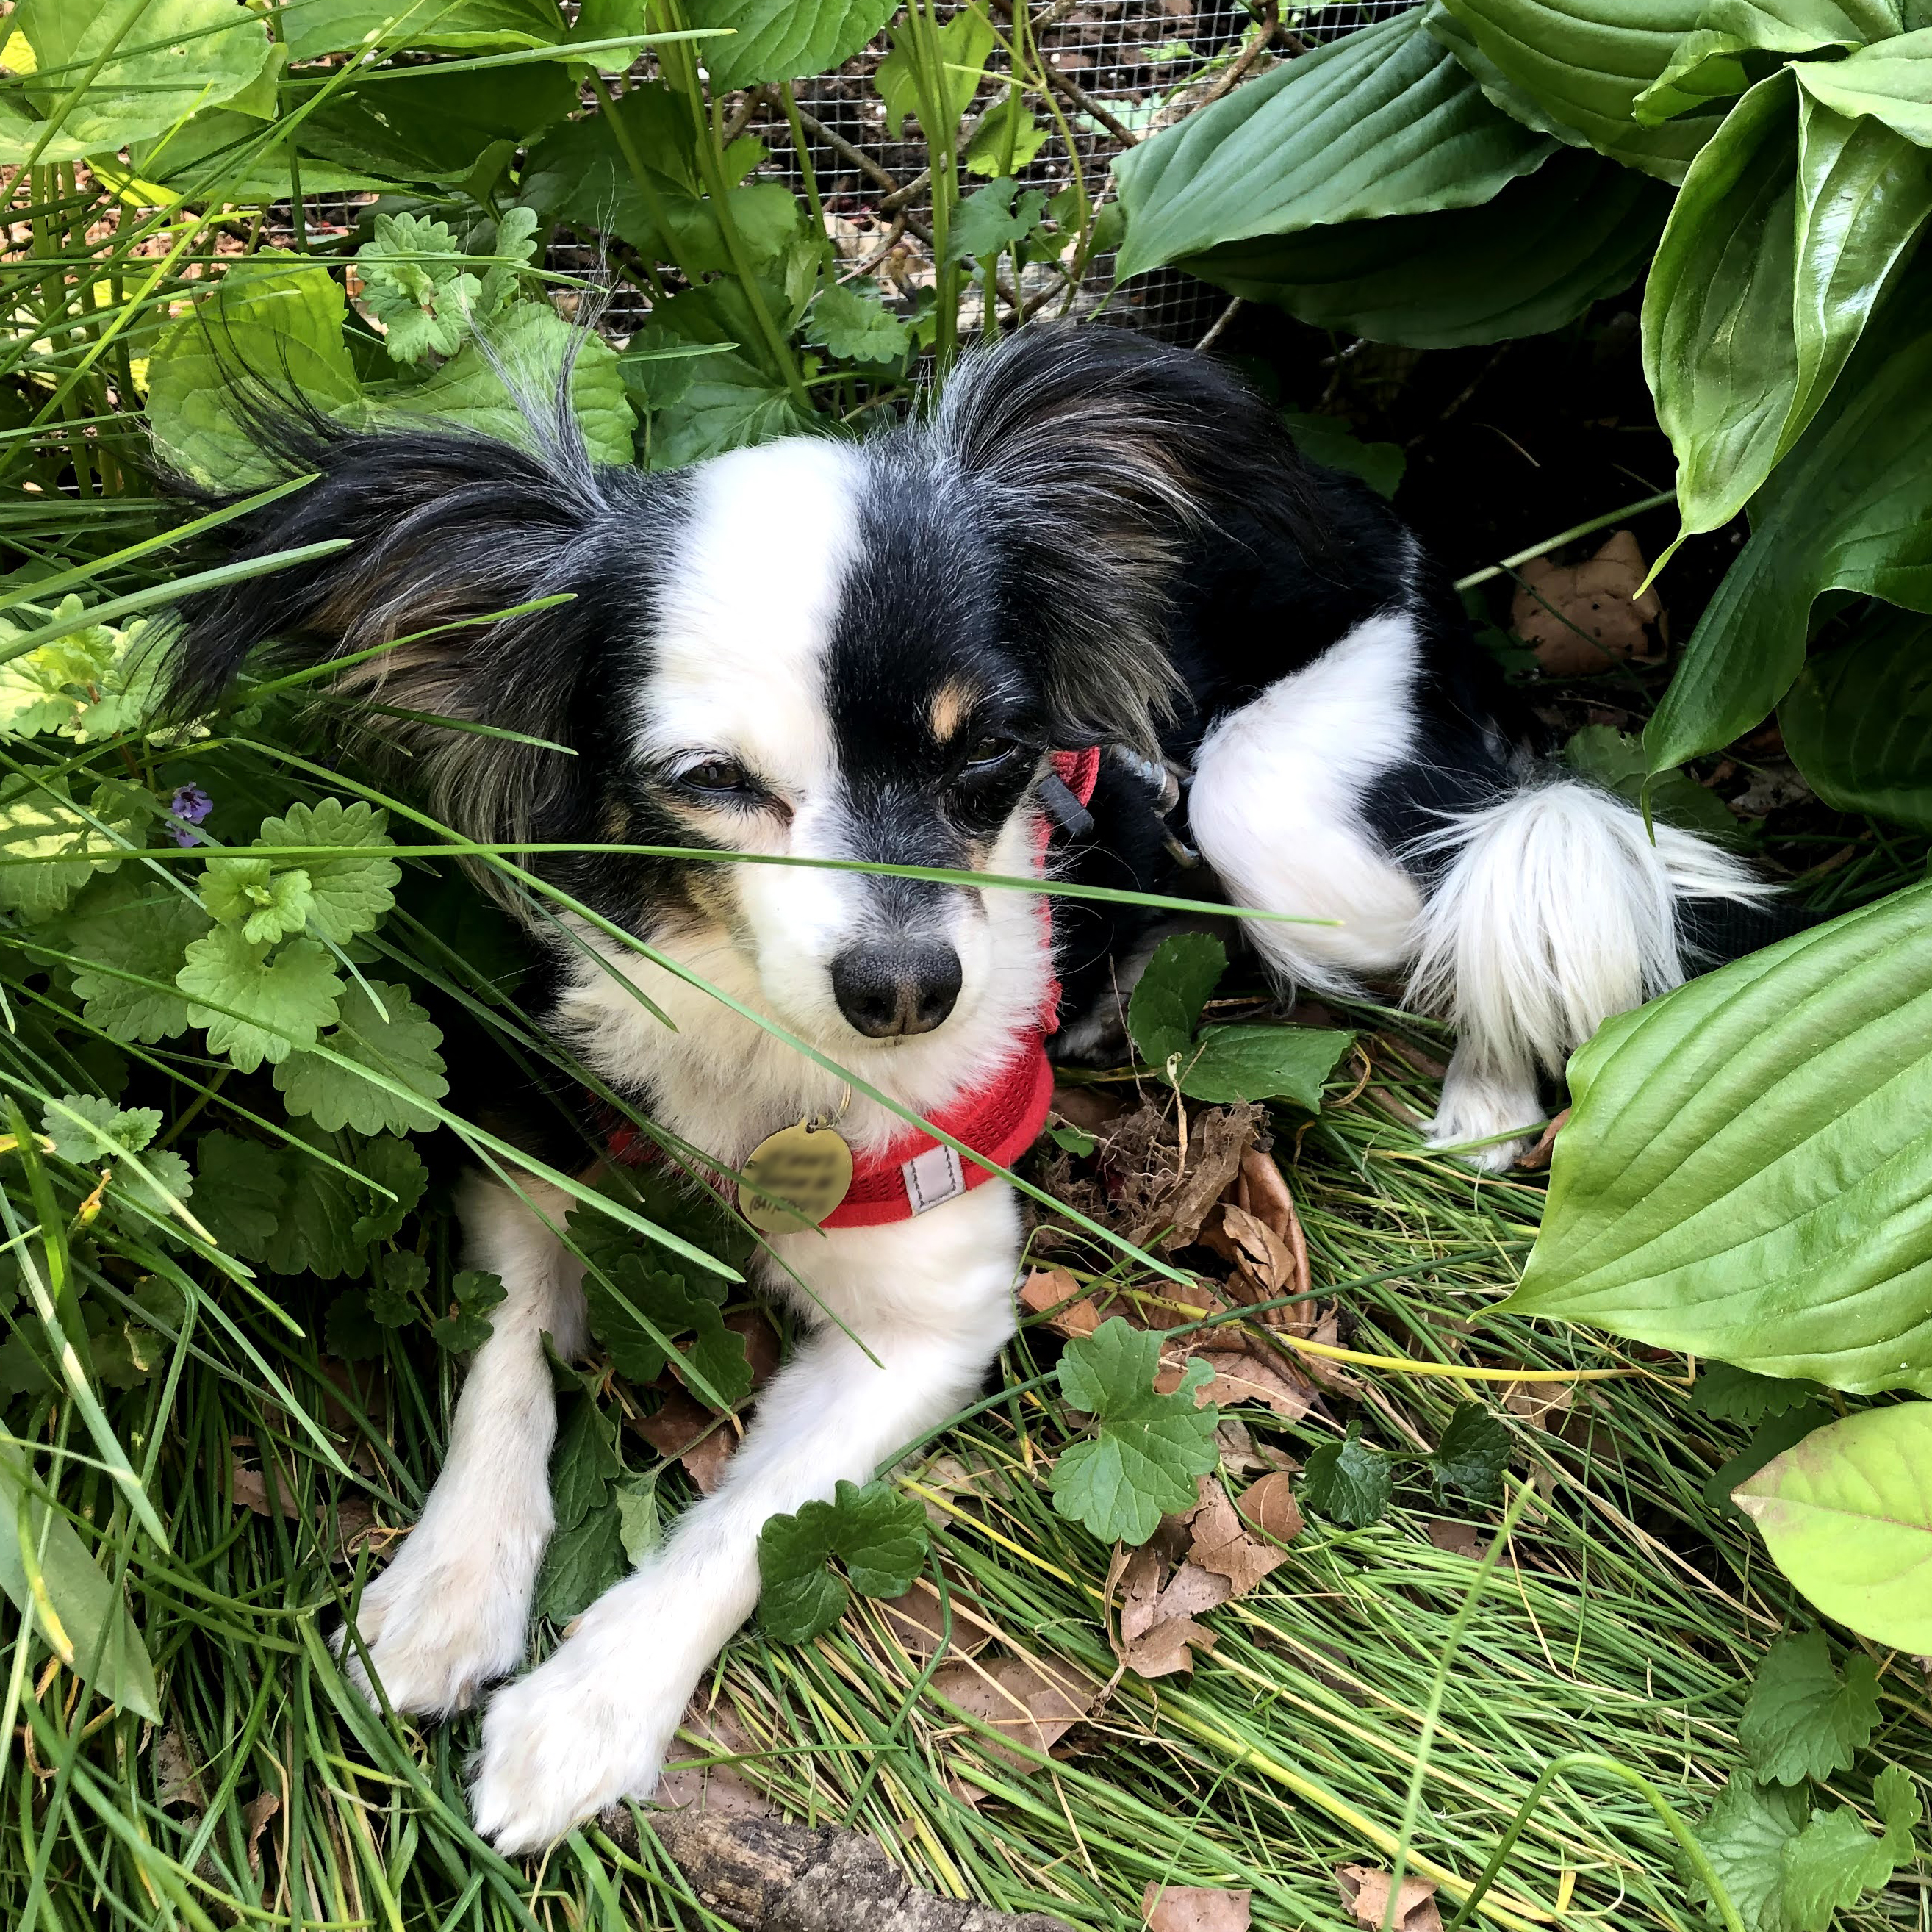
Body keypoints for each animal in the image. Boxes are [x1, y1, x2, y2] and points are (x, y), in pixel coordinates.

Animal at [170, 324, 1777, 1847]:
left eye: (997, 751)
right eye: (712, 781)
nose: (903, 986)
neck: (766, 1056)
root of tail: (1363, 517)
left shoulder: (925, 1327)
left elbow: (746, 1522)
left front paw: (583, 1712)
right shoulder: (524, 1127)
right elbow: (504, 1353)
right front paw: (445, 1587)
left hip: (1279, 825)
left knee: (1495, 864)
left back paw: (1485, 1106)